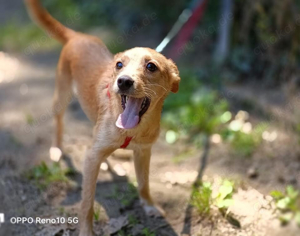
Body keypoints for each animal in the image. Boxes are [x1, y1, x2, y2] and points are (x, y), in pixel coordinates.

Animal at [24, 0, 179, 235]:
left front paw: (149, 205)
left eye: (151, 66)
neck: (131, 129)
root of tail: (78, 36)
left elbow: (144, 184)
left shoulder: (143, 153)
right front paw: (86, 231)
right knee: (58, 122)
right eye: (119, 65)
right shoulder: (90, 160)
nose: (123, 81)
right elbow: (87, 203)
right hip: (62, 95)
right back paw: (57, 148)